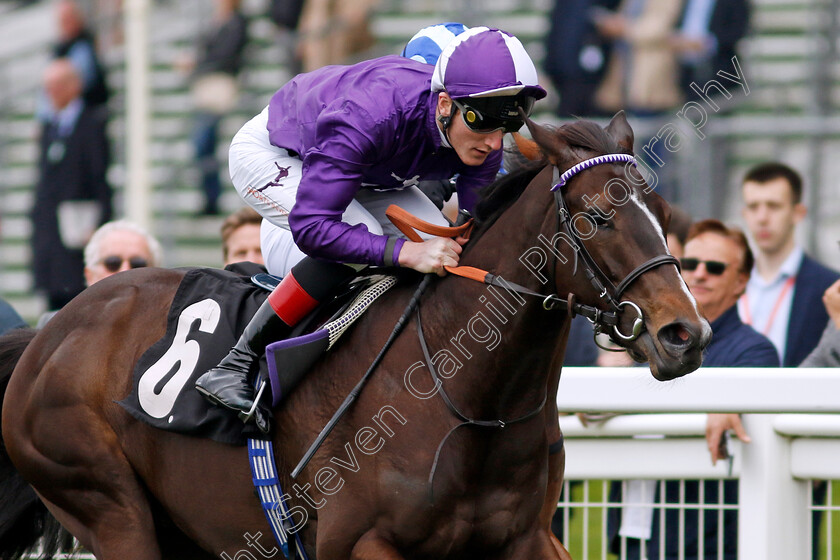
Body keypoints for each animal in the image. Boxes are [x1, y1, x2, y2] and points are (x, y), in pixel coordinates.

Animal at [0, 111, 708, 556]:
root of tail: (49, 333)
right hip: (106, 502)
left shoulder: (525, 538)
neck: (470, 400)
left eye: (663, 211)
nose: (685, 333)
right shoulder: (361, 542)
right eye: (597, 217)